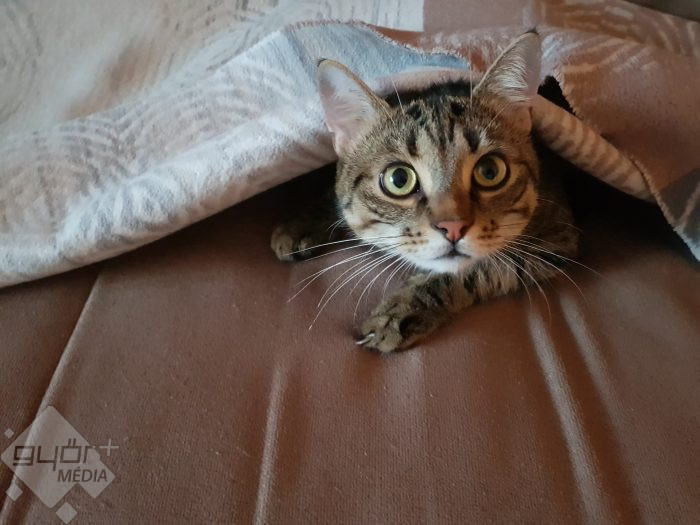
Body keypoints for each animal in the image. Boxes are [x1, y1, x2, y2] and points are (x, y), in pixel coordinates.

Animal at [271, 31, 578, 353]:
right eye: (399, 179)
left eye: (490, 171)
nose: (453, 227)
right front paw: (300, 222)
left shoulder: (554, 241)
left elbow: (475, 269)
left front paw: (401, 311)